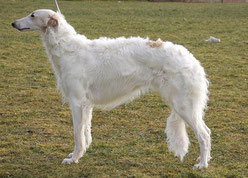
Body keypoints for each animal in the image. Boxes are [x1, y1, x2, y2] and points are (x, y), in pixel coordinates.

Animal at [12, 8, 211, 170]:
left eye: (32, 15)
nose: (13, 23)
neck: (67, 49)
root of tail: (193, 61)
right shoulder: (87, 104)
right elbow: (86, 132)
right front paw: (80, 153)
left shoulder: (77, 102)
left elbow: (77, 134)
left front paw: (73, 158)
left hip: (184, 105)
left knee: (204, 134)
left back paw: (202, 164)